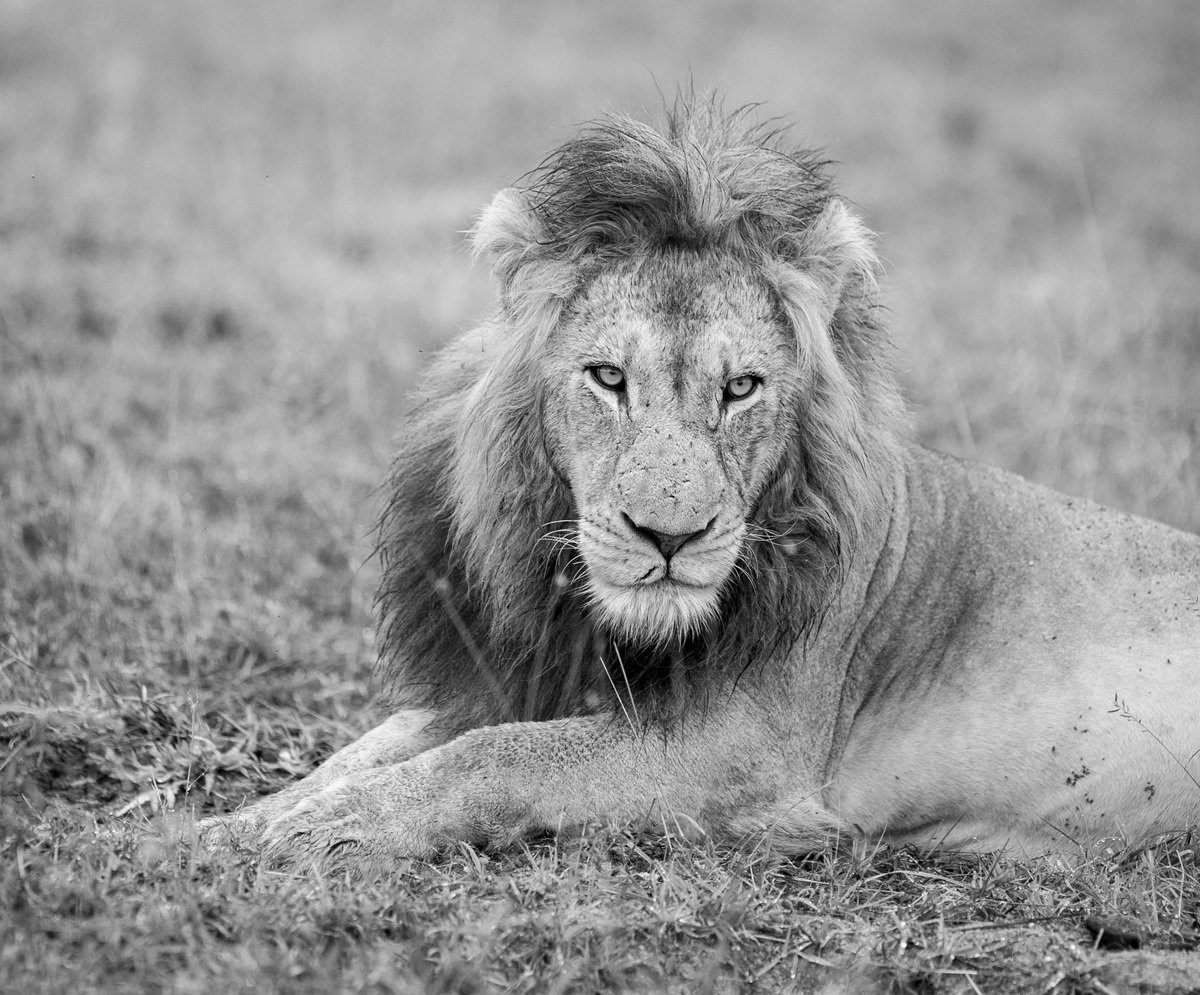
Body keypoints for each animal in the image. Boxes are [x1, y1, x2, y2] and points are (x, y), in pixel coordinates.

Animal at [202, 100, 1200, 865]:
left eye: (741, 388)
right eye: (608, 378)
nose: (669, 538)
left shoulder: (742, 750)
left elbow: (500, 756)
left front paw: (328, 829)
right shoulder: (522, 674)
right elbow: (381, 742)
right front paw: (234, 823)